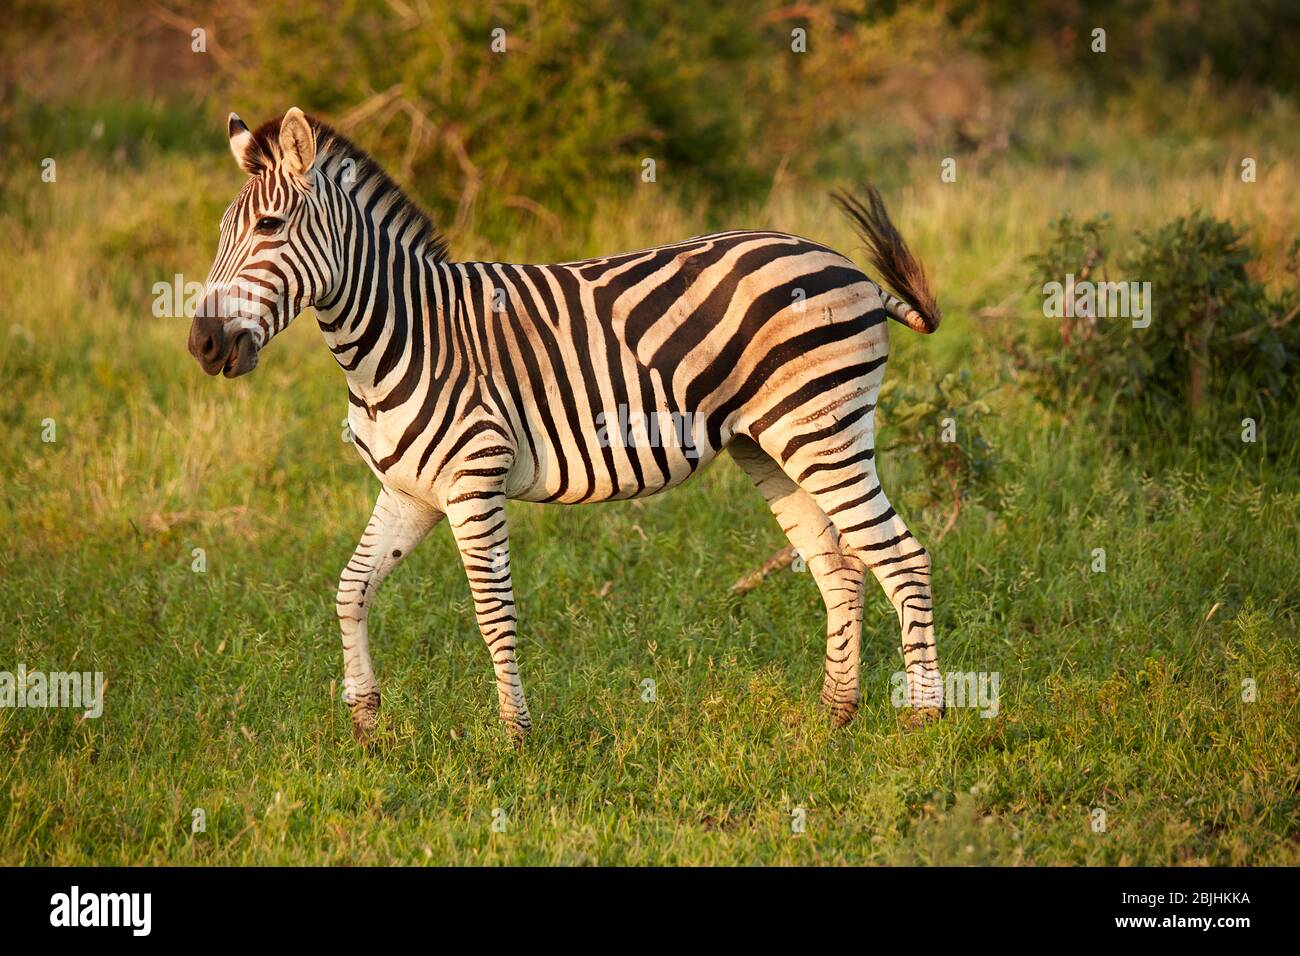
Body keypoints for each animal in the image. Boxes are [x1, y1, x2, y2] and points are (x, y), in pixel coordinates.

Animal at [185, 108, 946, 743]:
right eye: (221, 235)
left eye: (269, 228)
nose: (203, 345)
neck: (399, 337)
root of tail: (842, 264)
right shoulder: (410, 493)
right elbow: (351, 589)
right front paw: (367, 722)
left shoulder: (474, 482)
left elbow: (493, 612)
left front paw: (515, 737)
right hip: (770, 445)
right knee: (840, 566)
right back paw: (835, 715)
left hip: (824, 432)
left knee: (900, 557)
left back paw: (924, 721)